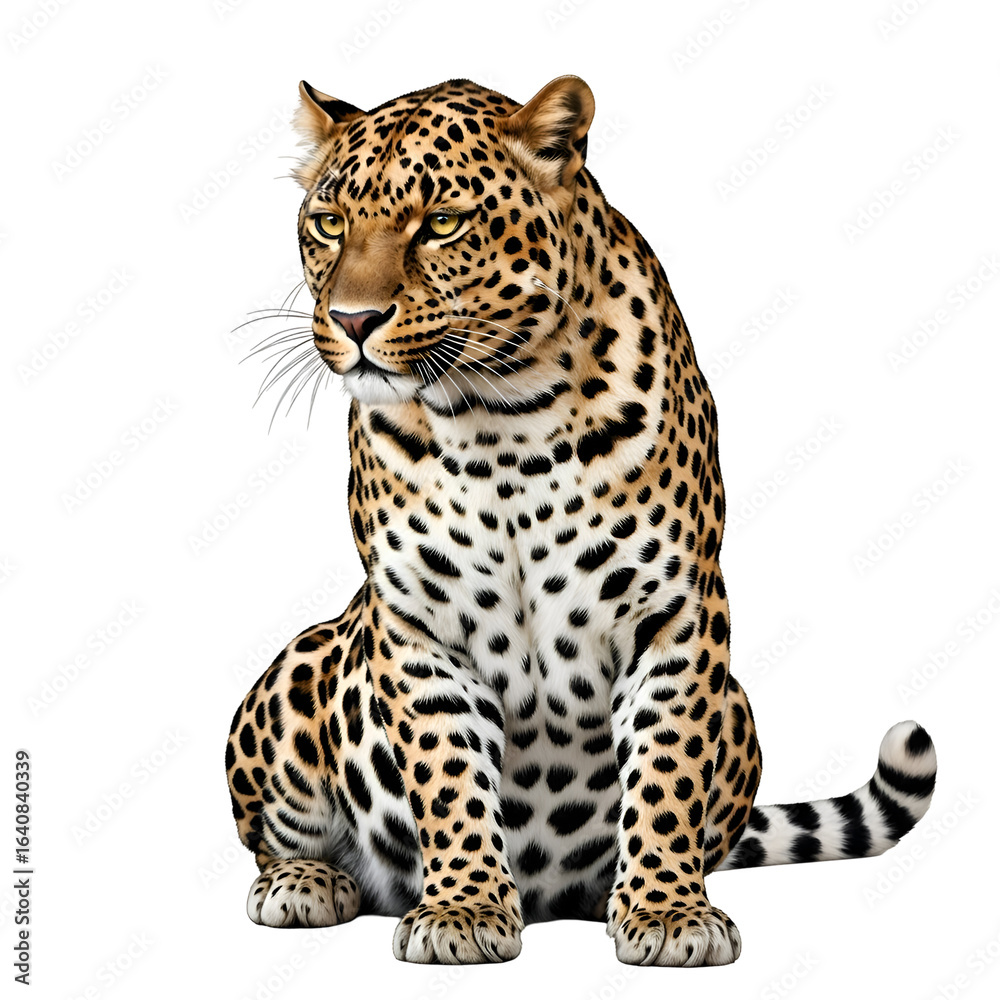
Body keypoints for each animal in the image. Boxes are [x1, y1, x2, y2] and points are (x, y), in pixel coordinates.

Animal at [225, 75, 938, 966]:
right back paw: (305, 883)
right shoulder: (418, 622)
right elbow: (448, 773)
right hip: (301, 664)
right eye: (328, 223)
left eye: (442, 223)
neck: (497, 417)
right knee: (277, 839)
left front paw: (668, 911)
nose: (354, 321)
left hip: (738, 705)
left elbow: (668, 767)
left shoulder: (675, 611)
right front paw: (463, 908)